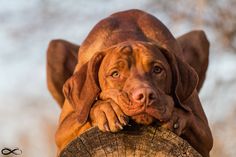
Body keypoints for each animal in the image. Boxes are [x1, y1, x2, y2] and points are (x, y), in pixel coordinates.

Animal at [47, 9, 213, 156]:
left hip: (199, 38)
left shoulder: (205, 136)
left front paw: (176, 117)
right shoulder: (64, 130)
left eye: (157, 69)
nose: (145, 96)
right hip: (56, 49)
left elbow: (189, 117)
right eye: (115, 74)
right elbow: (87, 111)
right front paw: (106, 109)